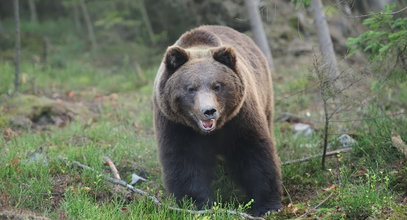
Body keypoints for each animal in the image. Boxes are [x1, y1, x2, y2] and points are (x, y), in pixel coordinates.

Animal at [151, 24, 282, 216]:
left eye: (217, 85)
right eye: (191, 88)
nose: (208, 111)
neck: (212, 131)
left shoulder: (240, 117)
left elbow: (253, 152)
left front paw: (267, 205)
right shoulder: (176, 124)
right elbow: (185, 161)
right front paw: (195, 203)